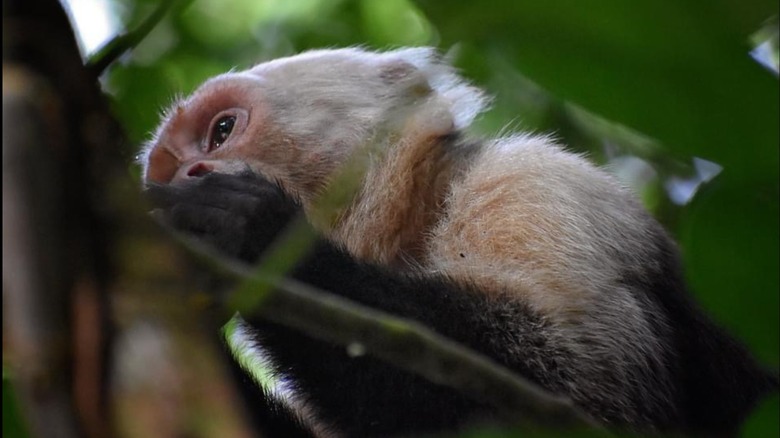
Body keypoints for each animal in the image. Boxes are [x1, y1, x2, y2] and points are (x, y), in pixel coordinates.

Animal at [140, 48, 772, 438]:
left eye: (222, 130)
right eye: (167, 168)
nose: (190, 174)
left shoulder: (538, 188)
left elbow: (582, 398)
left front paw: (249, 231)